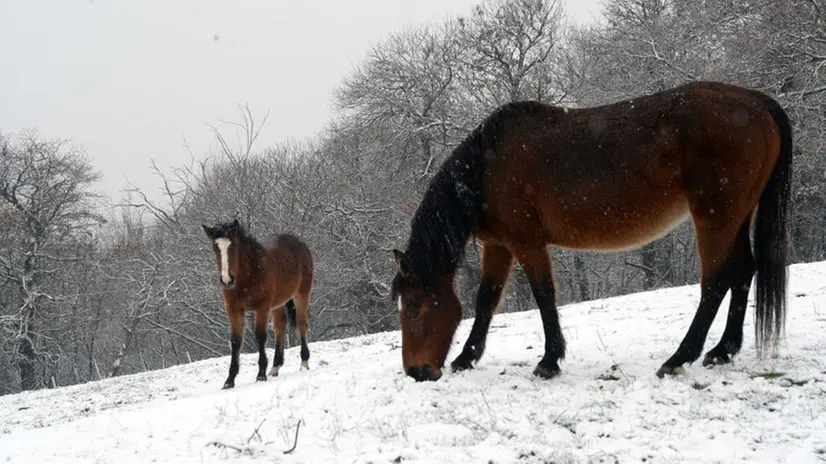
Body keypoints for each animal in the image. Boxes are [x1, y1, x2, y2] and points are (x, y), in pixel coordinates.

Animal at [201, 219, 314, 390]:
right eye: (215, 247)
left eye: (234, 245)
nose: (227, 280)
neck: (248, 275)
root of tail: (300, 243)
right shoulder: (234, 310)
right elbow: (235, 341)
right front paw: (230, 380)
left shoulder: (262, 307)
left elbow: (260, 336)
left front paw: (260, 374)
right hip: (277, 304)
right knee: (280, 326)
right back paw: (275, 367)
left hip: (302, 294)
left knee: (302, 323)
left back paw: (304, 362)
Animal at [392, 81, 792, 382]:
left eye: (413, 307)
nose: (416, 372)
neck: (485, 168)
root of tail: (757, 101)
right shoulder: (499, 245)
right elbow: (486, 299)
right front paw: (466, 358)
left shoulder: (526, 242)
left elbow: (544, 295)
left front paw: (549, 361)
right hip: (736, 217)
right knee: (743, 271)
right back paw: (722, 351)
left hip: (714, 217)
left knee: (715, 281)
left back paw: (678, 358)